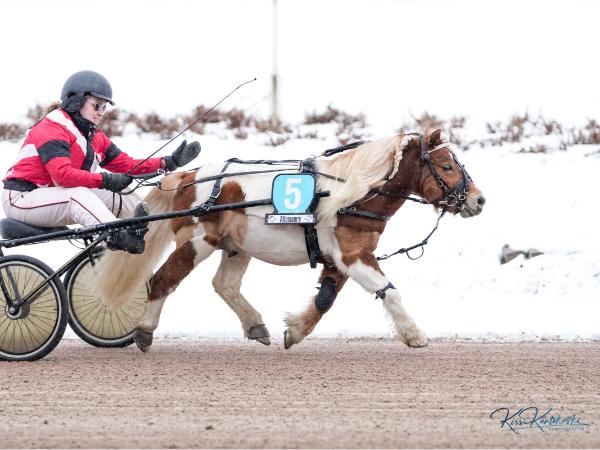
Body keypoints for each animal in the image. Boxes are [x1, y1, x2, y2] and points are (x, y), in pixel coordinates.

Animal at [94, 128, 485, 352]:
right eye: (447, 166)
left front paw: (295, 330)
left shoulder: (340, 258)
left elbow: (325, 299)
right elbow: (389, 290)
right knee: (162, 281)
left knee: (224, 285)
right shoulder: (353, 254)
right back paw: (145, 331)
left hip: (237, 246)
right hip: (197, 242)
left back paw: (255, 324)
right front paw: (414, 334)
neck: (352, 193)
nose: (479, 200)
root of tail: (188, 176)